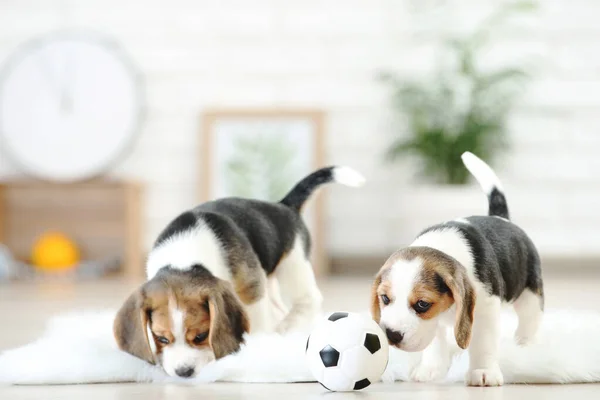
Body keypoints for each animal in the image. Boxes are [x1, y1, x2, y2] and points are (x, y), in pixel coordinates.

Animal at [114, 166, 364, 378]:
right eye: (161, 338)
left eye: (201, 336)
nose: (183, 373)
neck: (183, 260)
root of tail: (283, 207)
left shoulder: (252, 290)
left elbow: (256, 322)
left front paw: (254, 348)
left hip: (292, 265)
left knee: (309, 299)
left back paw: (286, 327)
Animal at [370, 152, 544, 386]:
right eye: (385, 299)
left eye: (422, 304)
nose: (391, 335)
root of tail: (501, 218)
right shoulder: (435, 322)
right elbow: (435, 343)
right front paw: (431, 369)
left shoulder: (485, 310)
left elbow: (483, 344)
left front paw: (483, 371)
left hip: (529, 295)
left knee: (528, 321)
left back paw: (525, 347)